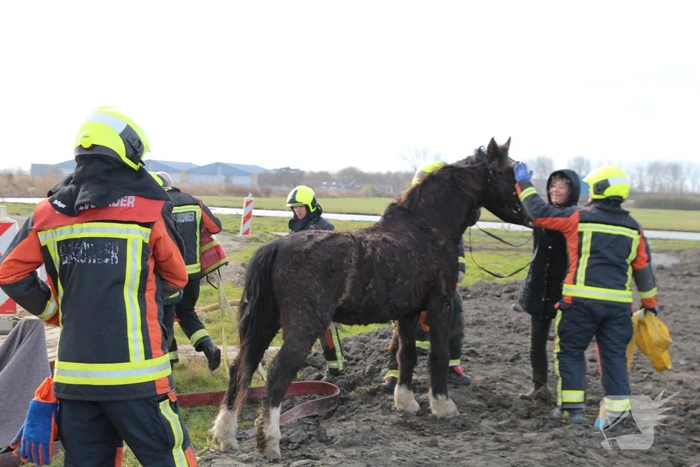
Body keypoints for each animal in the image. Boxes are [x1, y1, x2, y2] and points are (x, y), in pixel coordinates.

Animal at [211, 137, 530, 458]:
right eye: (507, 171)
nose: (526, 214)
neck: (426, 230)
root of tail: (276, 247)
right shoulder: (440, 305)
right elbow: (438, 354)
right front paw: (443, 405)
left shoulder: (408, 313)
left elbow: (406, 354)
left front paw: (406, 402)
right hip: (304, 326)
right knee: (277, 373)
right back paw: (270, 442)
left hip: (264, 323)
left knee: (241, 368)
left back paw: (225, 435)